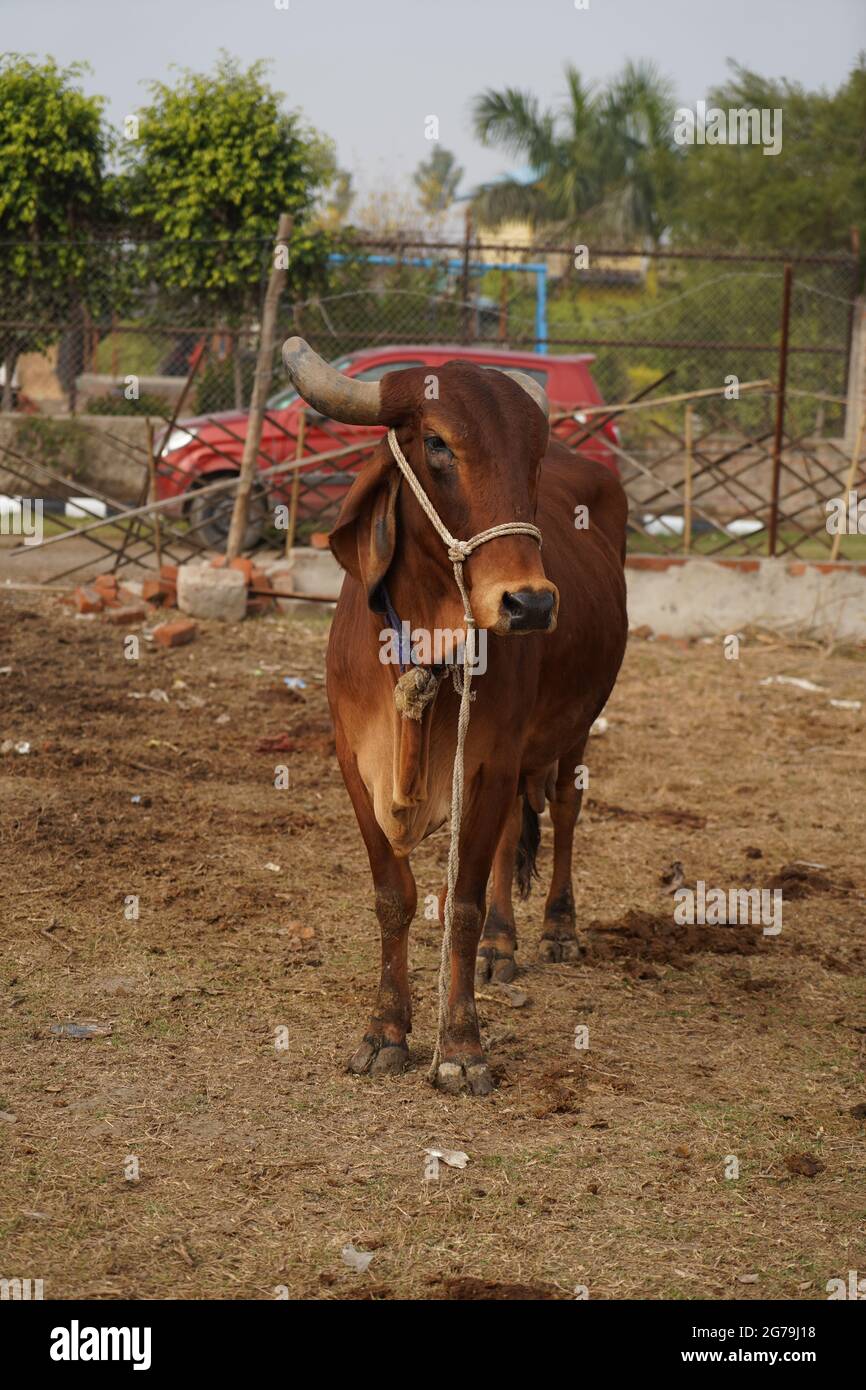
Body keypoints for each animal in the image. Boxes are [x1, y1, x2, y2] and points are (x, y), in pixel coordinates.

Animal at [280, 339, 625, 1095]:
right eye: (437, 443)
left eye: (532, 453)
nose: (529, 604)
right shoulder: (354, 762)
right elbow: (394, 896)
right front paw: (385, 1031)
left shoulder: (491, 758)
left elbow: (460, 903)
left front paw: (462, 1045)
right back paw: (503, 943)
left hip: (576, 725)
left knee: (564, 807)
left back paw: (557, 927)